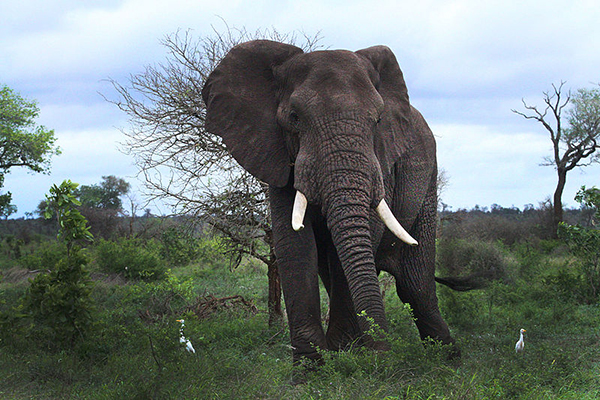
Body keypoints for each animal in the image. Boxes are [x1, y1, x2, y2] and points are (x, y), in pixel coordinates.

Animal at [202, 39, 460, 364]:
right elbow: (294, 246)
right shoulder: (278, 156)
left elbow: (356, 242)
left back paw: (448, 358)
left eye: (377, 120)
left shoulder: (380, 159)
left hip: (427, 178)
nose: (383, 352)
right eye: (294, 118)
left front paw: (344, 353)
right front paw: (313, 364)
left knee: (415, 285)